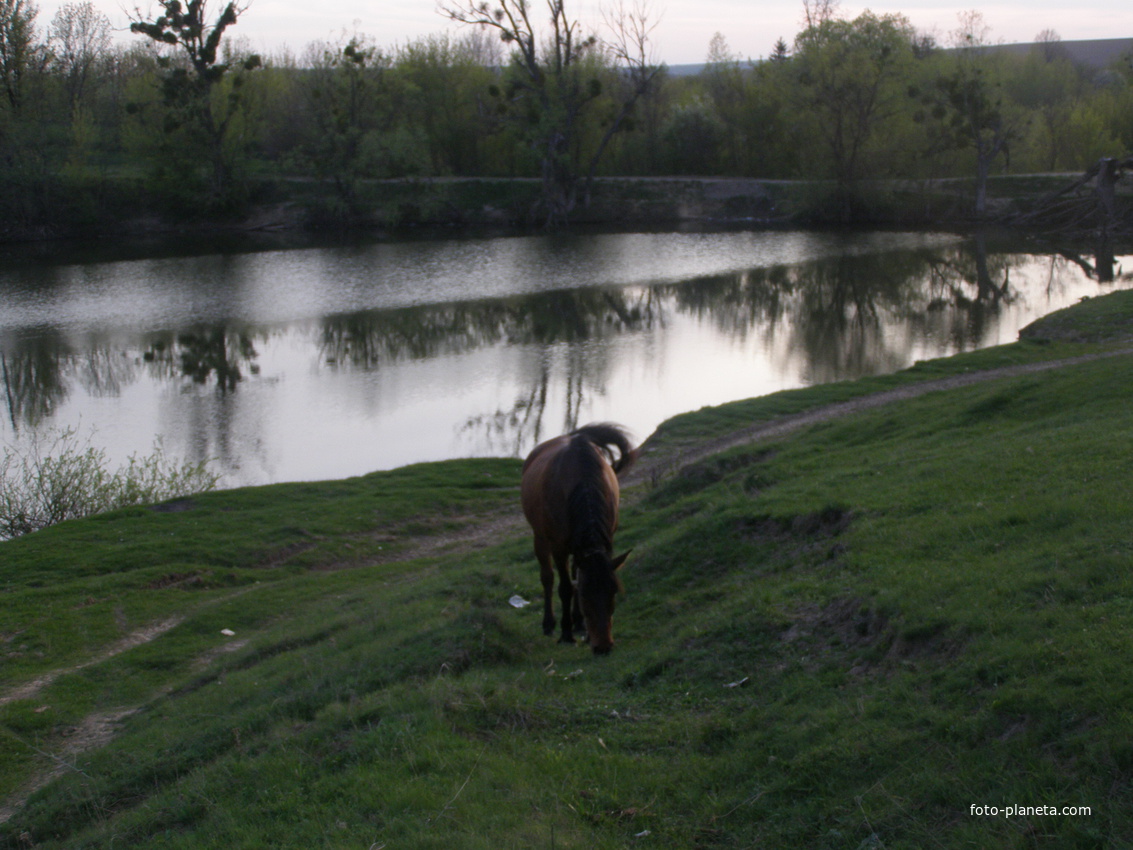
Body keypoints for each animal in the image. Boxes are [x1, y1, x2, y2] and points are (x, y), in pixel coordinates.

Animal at [518, 423, 634, 657]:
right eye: (585, 598)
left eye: (613, 593)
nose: (603, 647)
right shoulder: (558, 546)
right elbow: (565, 588)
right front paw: (565, 634)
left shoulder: (606, 540)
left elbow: (576, 580)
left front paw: (581, 628)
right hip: (540, 537)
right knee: (547, 577)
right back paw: (549, 624)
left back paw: (578, 623)